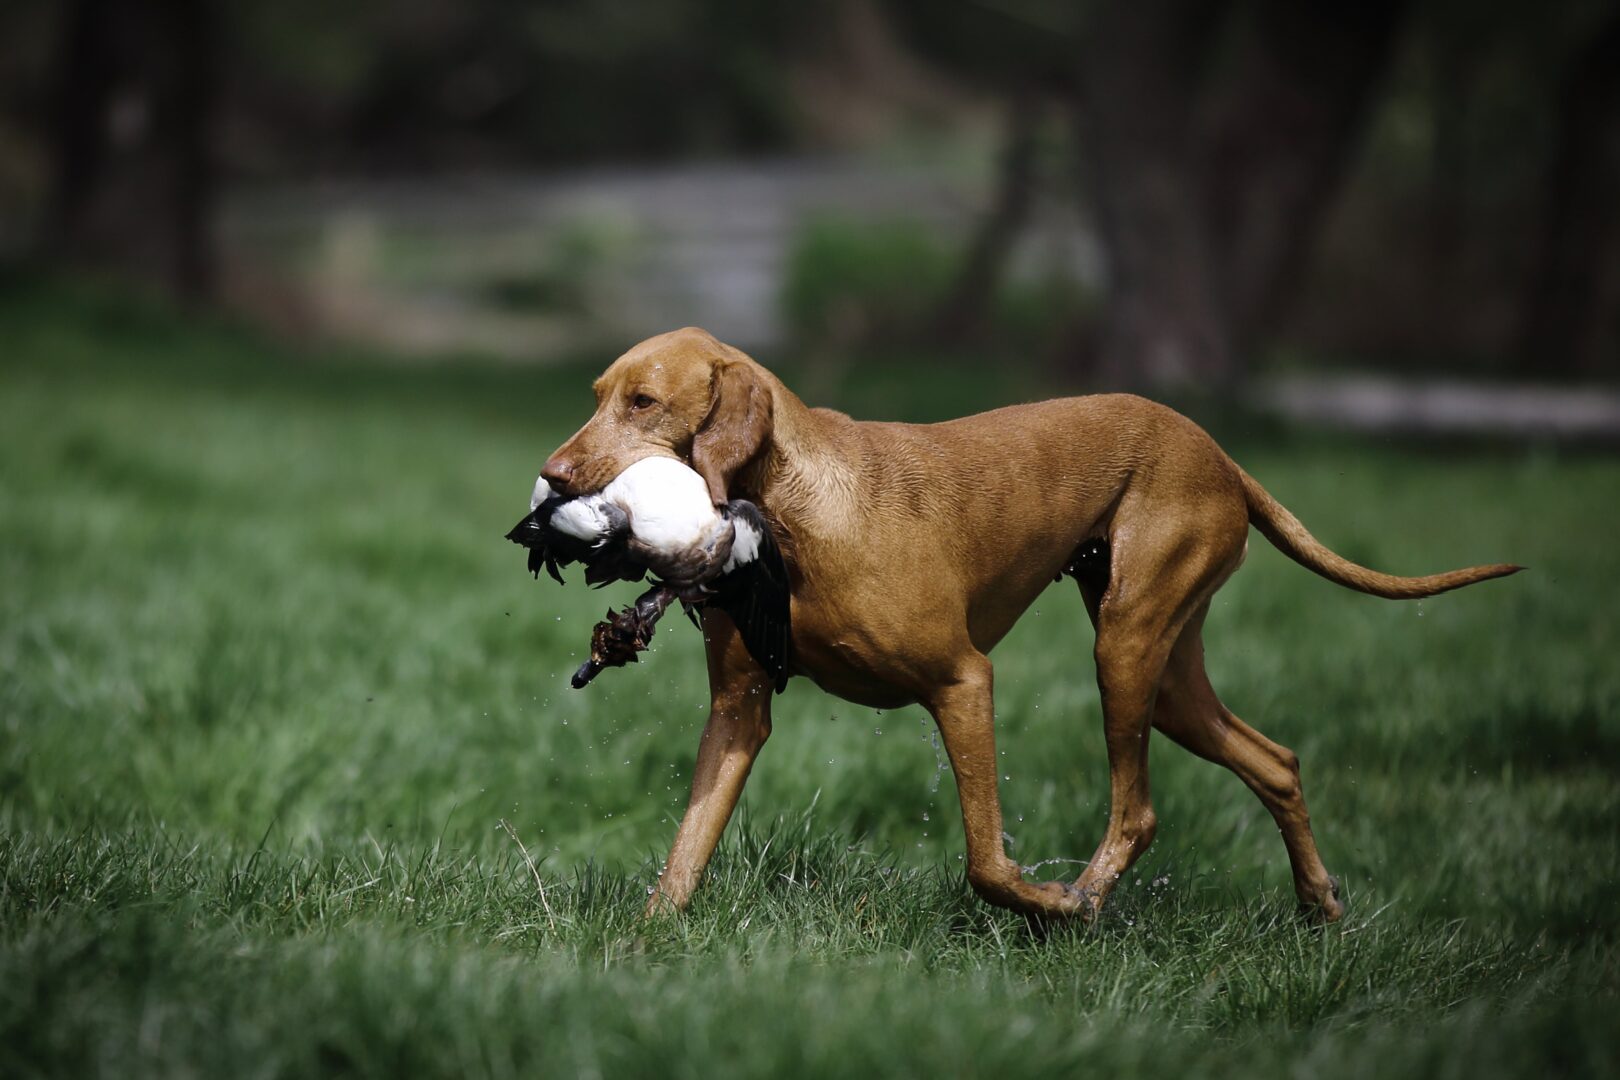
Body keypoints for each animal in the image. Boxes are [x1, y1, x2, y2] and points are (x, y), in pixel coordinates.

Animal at [541, 327, 1516, 919]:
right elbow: (685, 851)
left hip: (1124, 649)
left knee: (1140, 812)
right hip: (1169, 678)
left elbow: (985, 860)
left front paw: (1042, 905)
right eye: (594, 394)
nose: (551, 479)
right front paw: (651, 943)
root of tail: (1222, 456)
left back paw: (1082, 900)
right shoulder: (740, 711)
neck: (788, 512)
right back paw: (1319, 906)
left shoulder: (963, 681)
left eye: (642, 403)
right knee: (1275, 762)